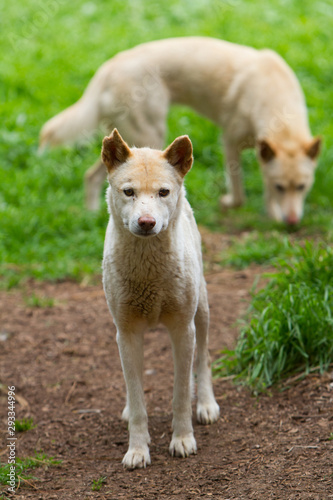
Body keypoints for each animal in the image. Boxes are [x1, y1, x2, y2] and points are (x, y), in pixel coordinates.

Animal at [102, 128, 219, 468]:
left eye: (163, 192)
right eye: (128, 192)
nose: (146, 222)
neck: (148, 273)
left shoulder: (182, 329)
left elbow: (179, 395)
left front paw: (183, 440)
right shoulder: (126, 333)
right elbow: (138, 399)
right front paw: (138, 450)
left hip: (201, 311)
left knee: (203, 357)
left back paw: (206, 404)